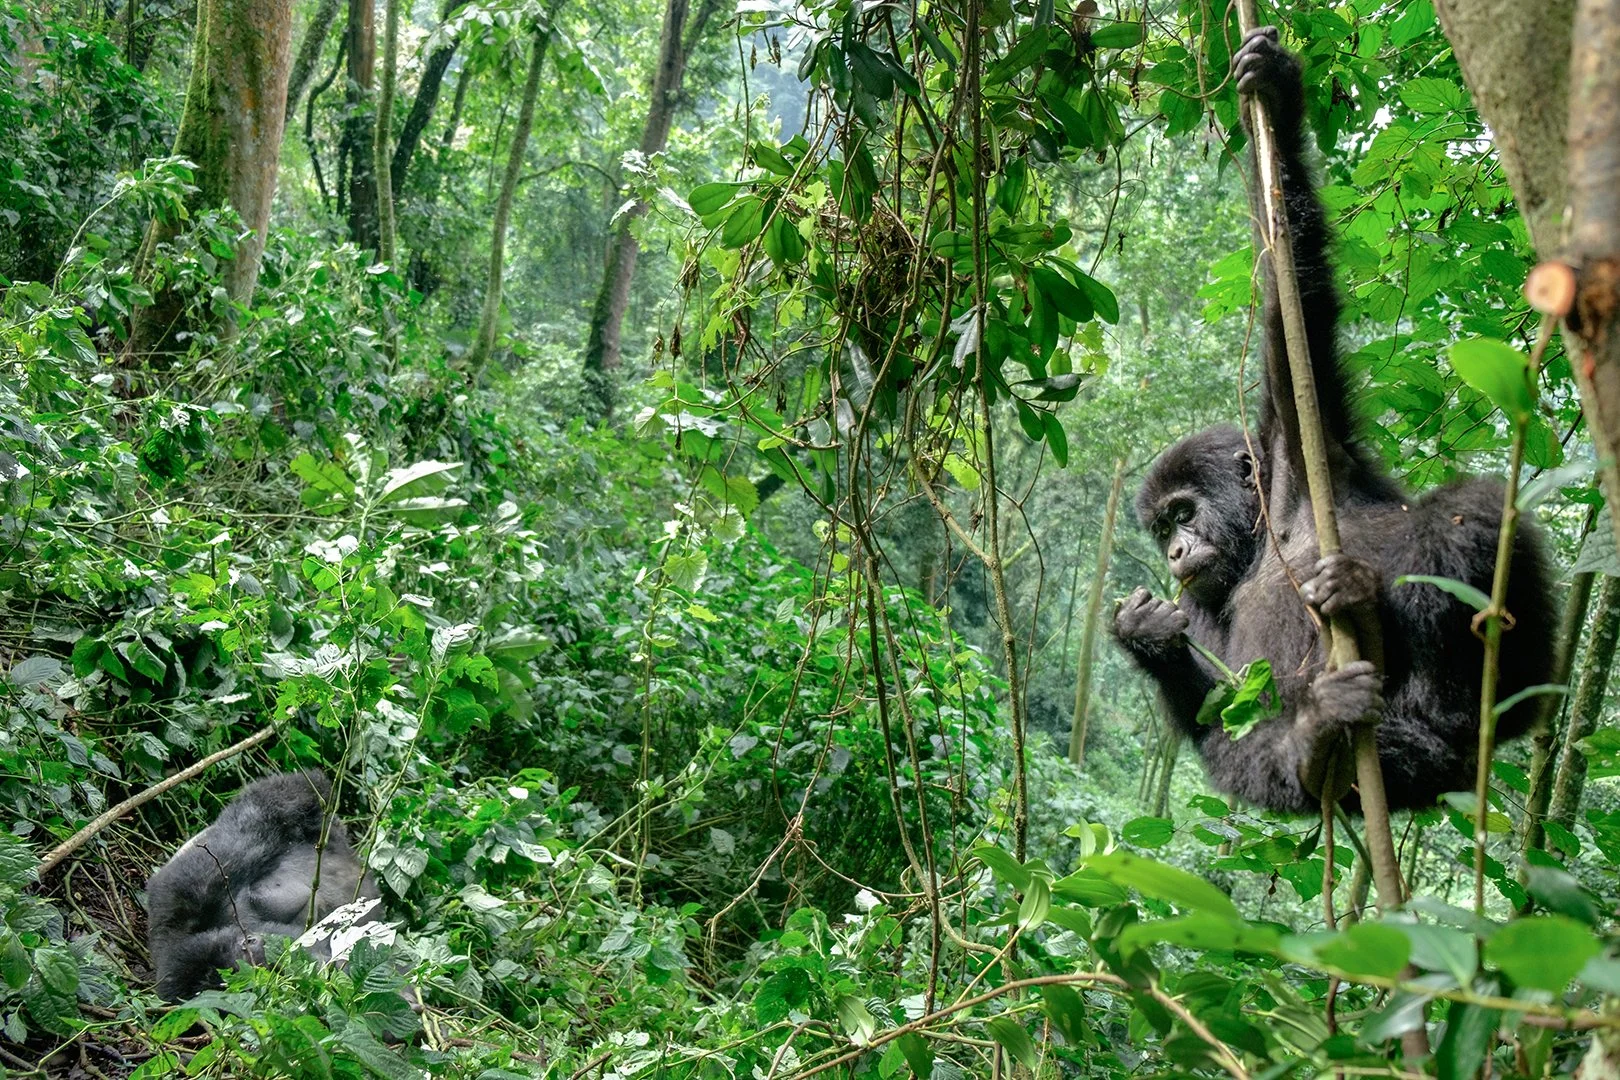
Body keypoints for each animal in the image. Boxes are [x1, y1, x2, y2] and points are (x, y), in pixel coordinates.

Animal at [1111, 28, 1556, 814]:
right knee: (1259, 759)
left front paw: (1275, 97)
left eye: (1183, 513)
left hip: (1504, 699)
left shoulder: (1301, 445)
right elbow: (1224, 714)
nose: (1174, 552)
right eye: (1162, 531)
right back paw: (1319, 744)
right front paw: (1145, 639)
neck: (1261, 540)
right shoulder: (1206, 606)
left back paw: (1382, 626)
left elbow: (1294, 295)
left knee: (1466, 517)